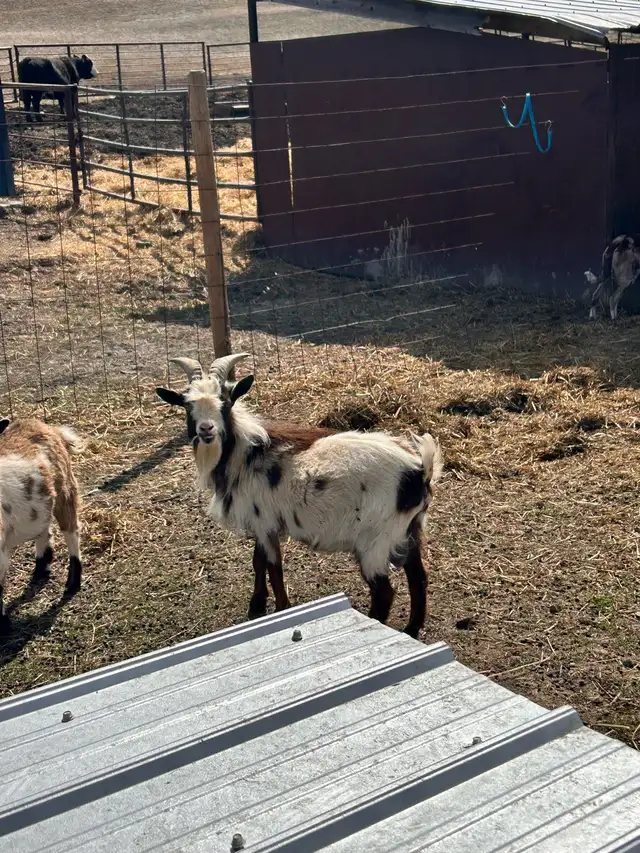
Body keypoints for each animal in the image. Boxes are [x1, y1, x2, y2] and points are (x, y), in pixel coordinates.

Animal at [156, 354, 443, 638]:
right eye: (187, 404)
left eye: (225, 402)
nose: (206, 429)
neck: (246, 453)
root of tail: (419, 470)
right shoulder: (262, 524)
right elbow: (258, 561)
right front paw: (257, 604)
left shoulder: (265, 522)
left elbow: (273, 568)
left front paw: (280, 609)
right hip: (410, 529)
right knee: (419, 578)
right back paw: (411, 629)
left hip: (375, 540)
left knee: (383, 592)